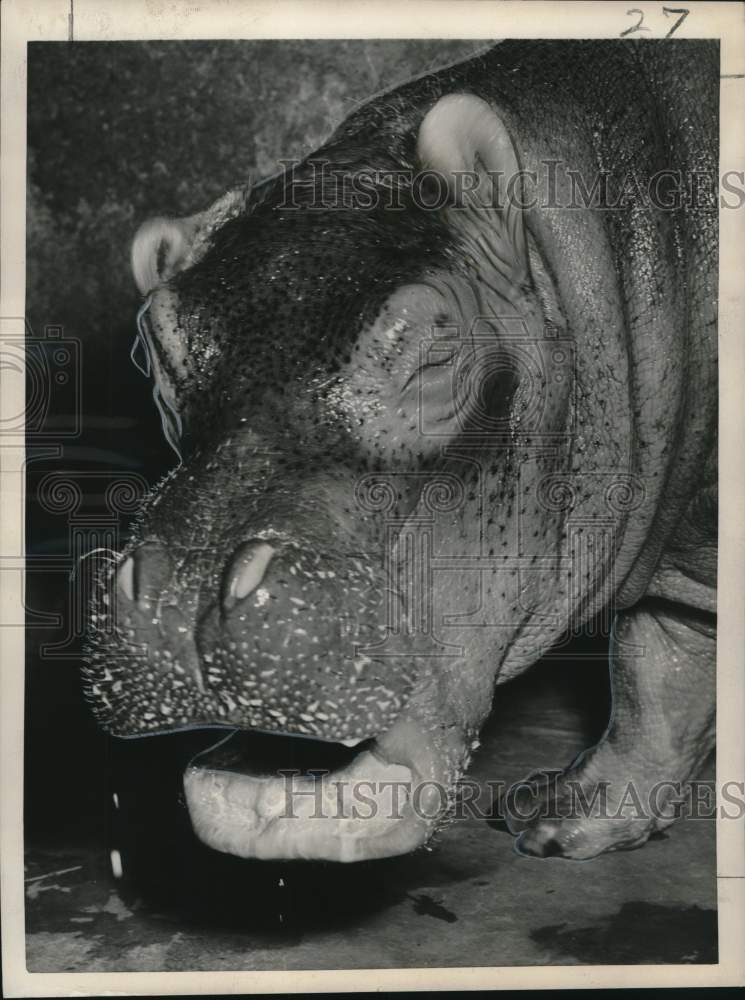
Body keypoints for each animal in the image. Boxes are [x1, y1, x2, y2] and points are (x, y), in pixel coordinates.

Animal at [84, 39, 718, 864]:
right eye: (155, 343)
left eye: (435, 351)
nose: (180, 597)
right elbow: (658, 672)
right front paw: (553, 818)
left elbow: (659, 663)